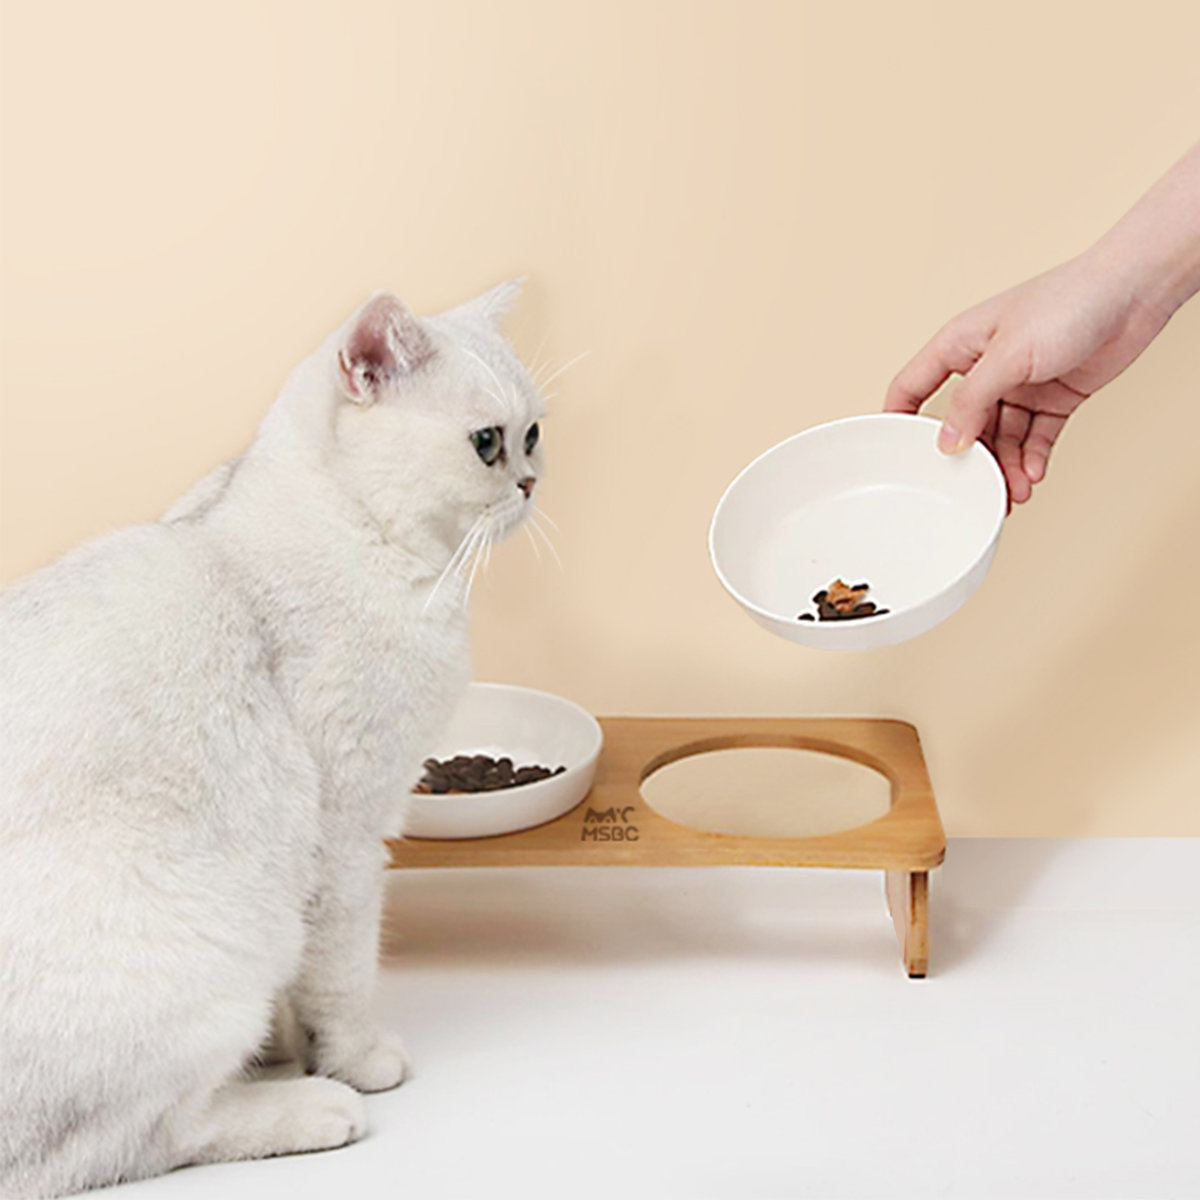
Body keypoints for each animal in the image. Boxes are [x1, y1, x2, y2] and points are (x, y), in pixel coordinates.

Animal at [0, 279, 544, 1198]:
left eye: (534, 433)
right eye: (487, 444)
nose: (535, 482)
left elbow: (303, 997)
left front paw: (292, 1049)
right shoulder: (348, 837)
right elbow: (341, 976)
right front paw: (352, 1063)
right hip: (211, 943)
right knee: (123, 1146)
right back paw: (314, 1110)